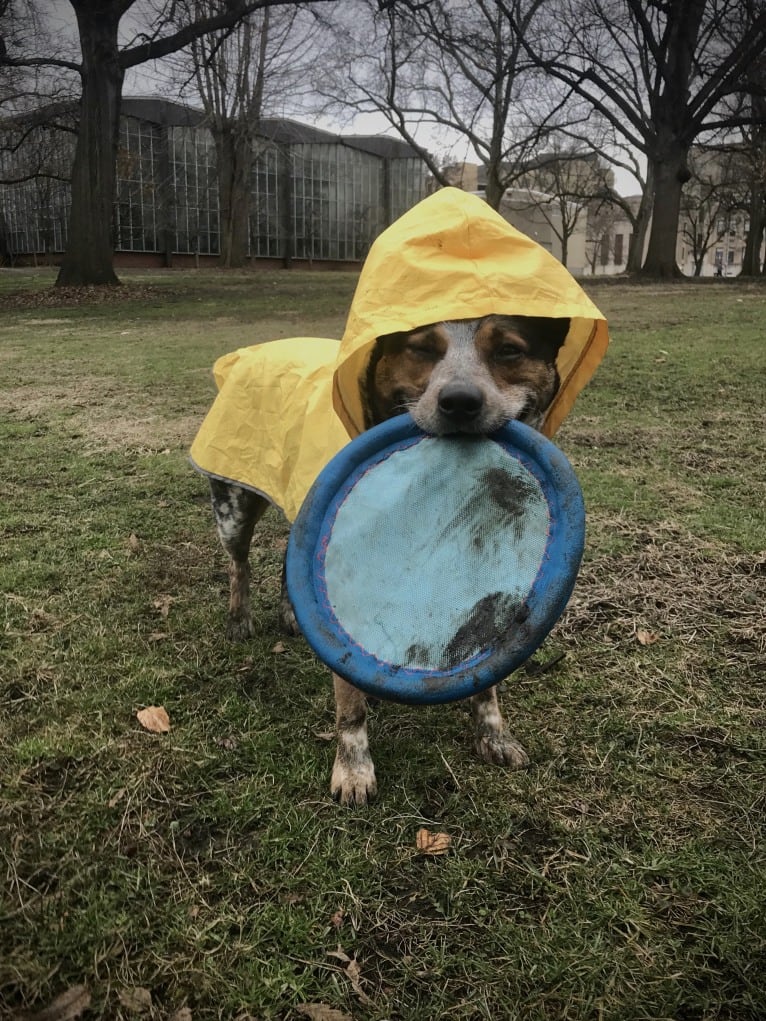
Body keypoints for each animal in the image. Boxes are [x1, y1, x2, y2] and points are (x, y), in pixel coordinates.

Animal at [208, 310, 571, 804]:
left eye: (509, 350)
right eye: (422, 348)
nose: (459, 402)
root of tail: (247, 353)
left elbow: (487, 668)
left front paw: (494, 735)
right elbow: (349, 702)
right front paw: (353, 769)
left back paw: (288, 613)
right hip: (235, 507)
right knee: (239, 563)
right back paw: (239, 618)